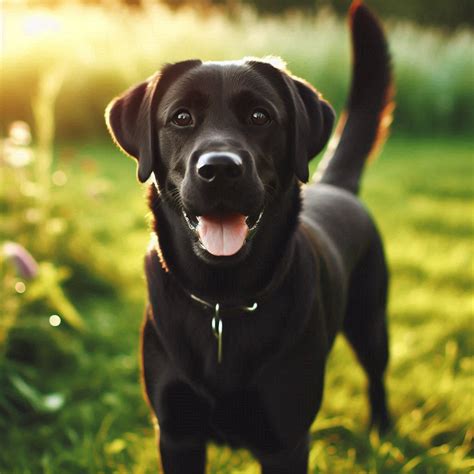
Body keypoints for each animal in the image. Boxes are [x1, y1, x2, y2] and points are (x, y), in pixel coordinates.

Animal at [106, 1, 392, 472]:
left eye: (260, 116)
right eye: (182, 117)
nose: (220, 168)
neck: (223, 299)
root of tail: (337, 186)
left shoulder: (286, 441)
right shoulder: (177, 434)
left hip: (371, 320)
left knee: (377, 374)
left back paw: (383, 432)